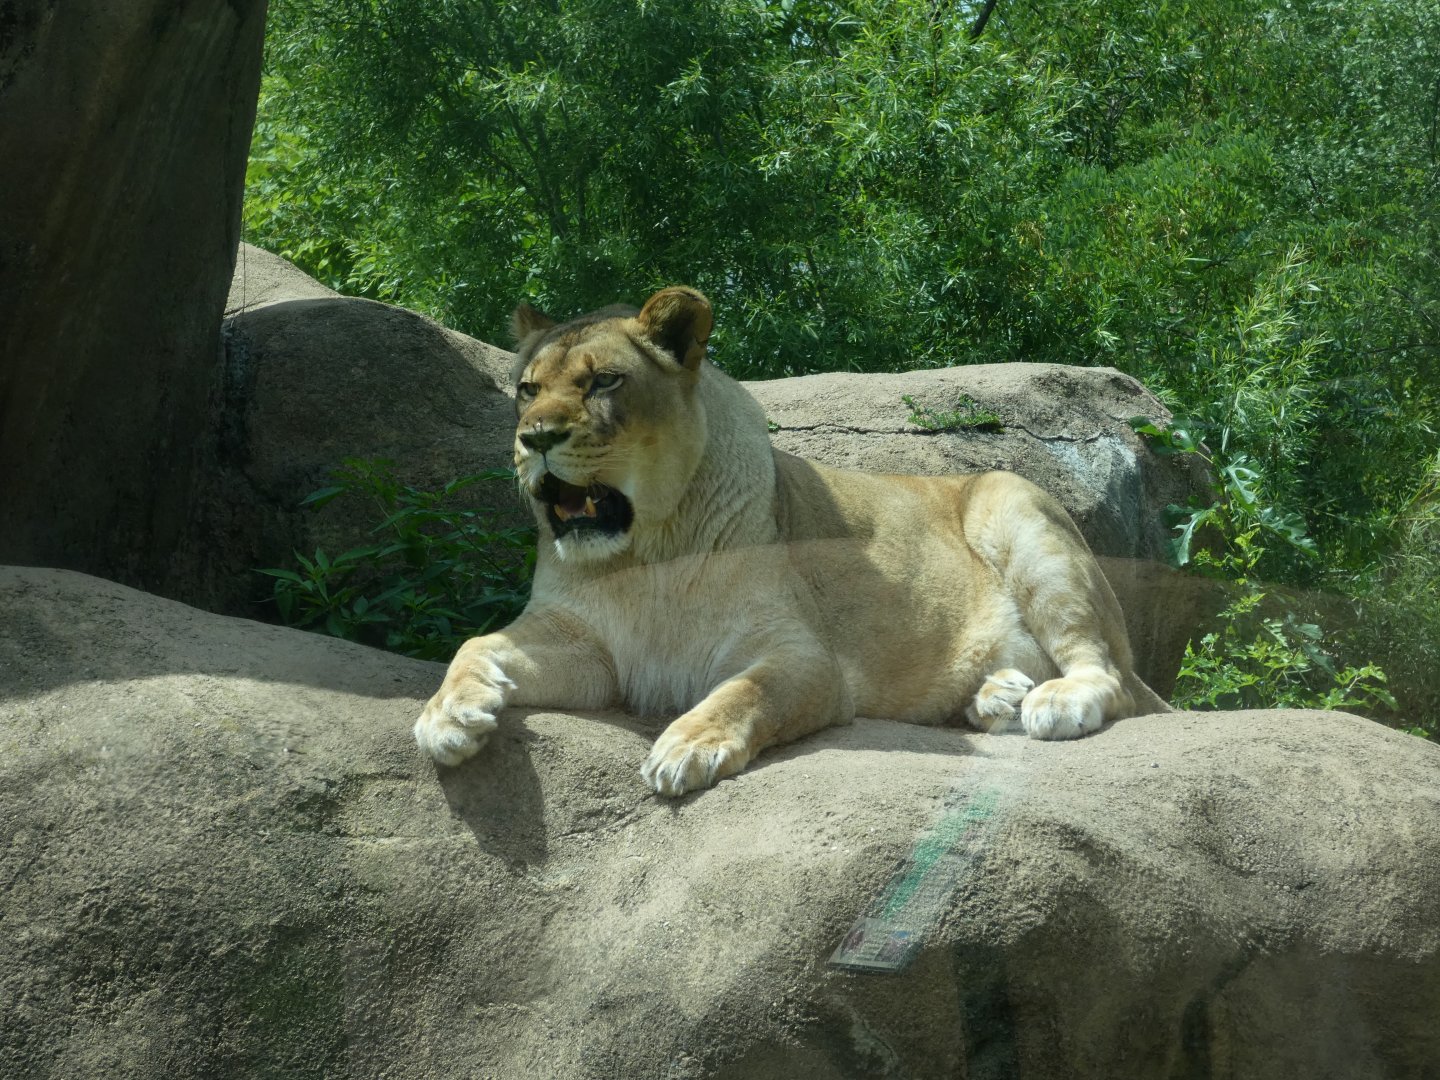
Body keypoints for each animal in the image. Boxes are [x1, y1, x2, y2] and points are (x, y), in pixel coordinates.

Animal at [414, 286, 1169, 795]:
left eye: (604, 381)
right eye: (526, 389)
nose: (534, 438)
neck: (645, 554)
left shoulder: (804, 657)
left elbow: (746, 692)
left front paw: (686, 746)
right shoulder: (589, 647)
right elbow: (475, 643)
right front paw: (448, 714)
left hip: (1023, 515)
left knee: (1114, 678)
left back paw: (1053, 702)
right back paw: (997, 696)